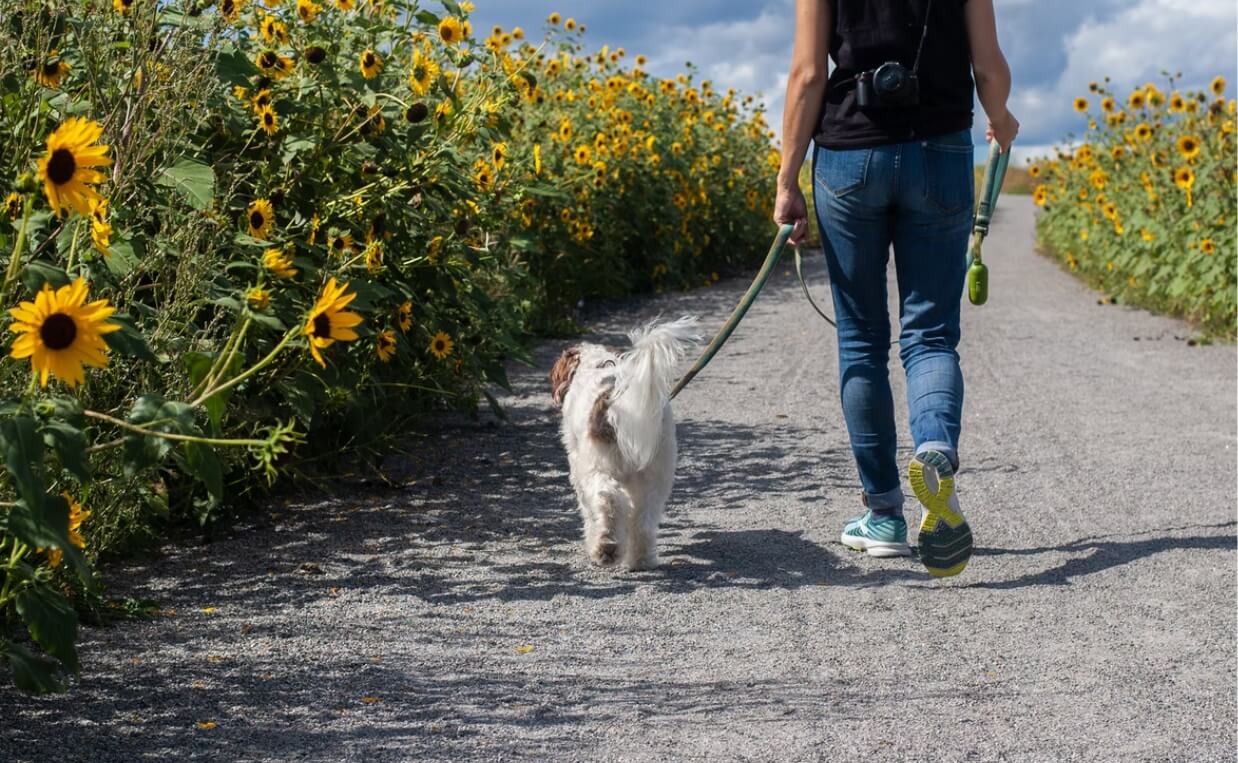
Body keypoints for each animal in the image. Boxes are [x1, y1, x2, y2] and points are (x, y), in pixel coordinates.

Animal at [549, 313, 703, 569]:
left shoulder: (579, 468)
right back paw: (640, 559)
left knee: (609, 500)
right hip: (656, 473)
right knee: (644, 520)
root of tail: (615, 400)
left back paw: (606, 548)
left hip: (598, 468)